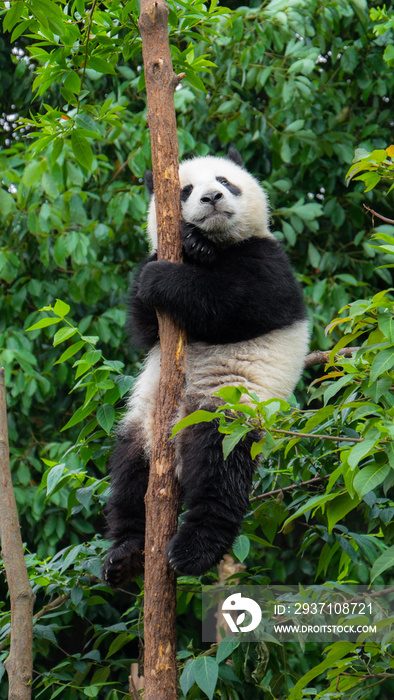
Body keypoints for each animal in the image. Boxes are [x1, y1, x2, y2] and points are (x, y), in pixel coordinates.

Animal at [100, 148, 310, 584]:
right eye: (186, 190)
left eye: (225, 181)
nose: (212, 197)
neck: (221, 244)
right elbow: (145, 329)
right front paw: (184, 247)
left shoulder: (270, 261)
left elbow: (235, 303)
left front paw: (166, 274)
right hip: (143, 424)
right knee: (129, 475)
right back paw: (126, 554)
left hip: (230, 408)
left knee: (219, 469)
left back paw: (193, 551)